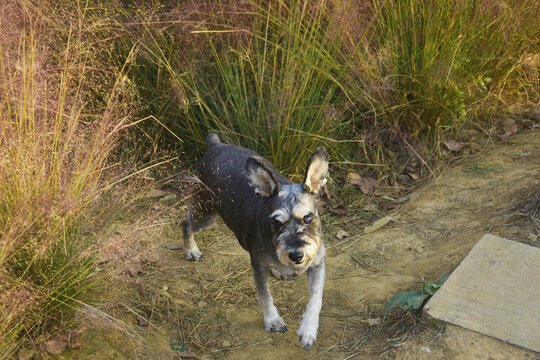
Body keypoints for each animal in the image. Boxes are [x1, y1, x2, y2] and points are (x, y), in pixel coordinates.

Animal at [181, 133, 326, 348]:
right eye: (277, 222)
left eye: (308, 218)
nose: (296, 255)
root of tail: (215, 144)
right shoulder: (258, 264)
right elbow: (265, 295)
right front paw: (273, 320)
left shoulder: (318, 264)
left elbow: (316, 299)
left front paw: (308, 330)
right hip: (204, 211)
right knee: (186, 224)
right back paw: (191, 250)